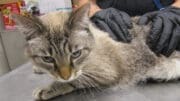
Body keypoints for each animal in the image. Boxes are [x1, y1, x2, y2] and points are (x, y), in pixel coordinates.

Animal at [12, 4, 180, 100]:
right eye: (47, 59)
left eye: (76, 54)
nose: (65, 75)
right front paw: (38, 68)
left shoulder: (106, 73)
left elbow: (75, 80)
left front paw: (46, 89)